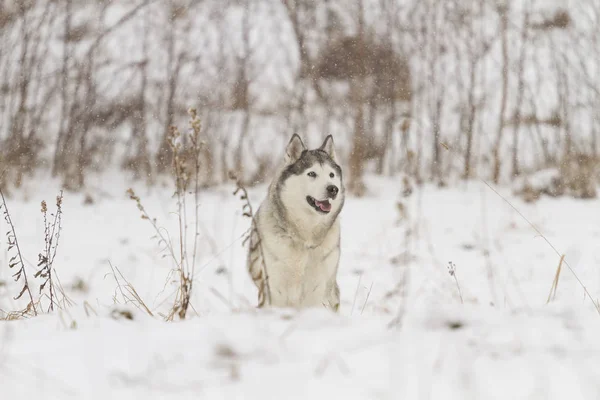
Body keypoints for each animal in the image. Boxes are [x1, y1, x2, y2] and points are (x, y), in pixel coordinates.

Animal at [246, 134, 344, 310]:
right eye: (312, 174)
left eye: (331, 175)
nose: (333, 189)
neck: (304, 237)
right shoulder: (274, 287)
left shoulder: (318, 287)